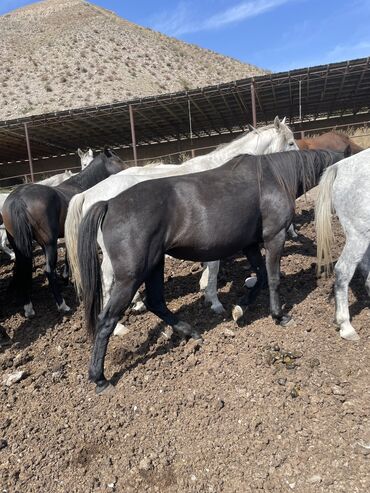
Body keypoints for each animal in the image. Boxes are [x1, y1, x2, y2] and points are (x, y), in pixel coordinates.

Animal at [2, 148, 129, 318]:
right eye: (118, 160)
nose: (128, 168)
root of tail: (18, 199)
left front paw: (65, 277)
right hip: (49, 244)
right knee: (48, 271)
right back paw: (62, 304)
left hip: (19, 246)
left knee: (23, 270)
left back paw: (28, 307)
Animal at [66, 117, 298, 332]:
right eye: (291, 143)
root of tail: (89, 194)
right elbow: (214, 266)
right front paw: (213, 300)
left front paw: (206, 288)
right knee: (107, 279)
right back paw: (120, 325)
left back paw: (137, 303)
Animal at [78, 146, 350, 392]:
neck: (274, 177)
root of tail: (108, 204)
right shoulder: (274, 237)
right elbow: (273, 278)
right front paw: (279, 315)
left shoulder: (250, 243)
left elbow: (261, 277)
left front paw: (240, 308)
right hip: (131, 276)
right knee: (107, 319)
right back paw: (100, 379)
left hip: (154, 265)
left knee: (156, 302)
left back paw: (191, 333)